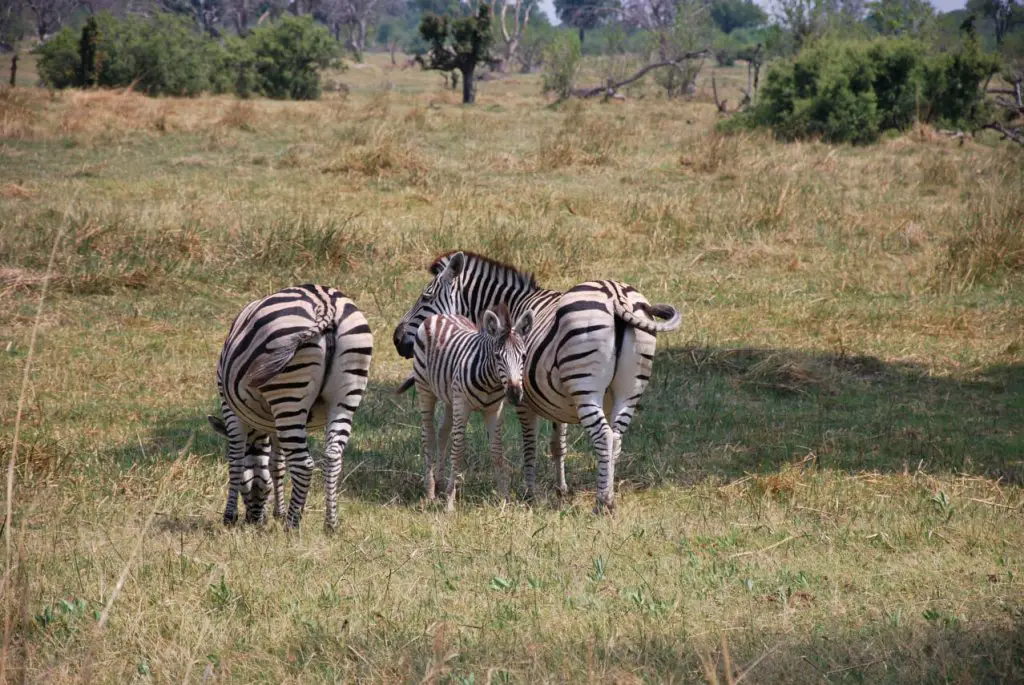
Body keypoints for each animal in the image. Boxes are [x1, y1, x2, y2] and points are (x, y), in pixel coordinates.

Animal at [204, 282, 372, 528]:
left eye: (248, 489)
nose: (254, 521)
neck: (258, 432)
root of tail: (324, 304)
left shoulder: (231, 411)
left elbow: (235, 461)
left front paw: (229, 516)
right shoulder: (274, 424)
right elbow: (277, 464)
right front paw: (280, 511)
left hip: (288, 394)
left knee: (303, 464)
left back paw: (292, 525)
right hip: (346, 394)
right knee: (332, 457)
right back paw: (330, 523)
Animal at [395, 305, 532, 511]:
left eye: (523, 356)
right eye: (498, 356)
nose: (515, 394)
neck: (492, 383)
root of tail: (442, 314)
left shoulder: (494, 410)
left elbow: (497, 452)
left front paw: (504, 499)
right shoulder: (463, 405)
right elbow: (458, 450)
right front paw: (450, 502)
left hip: (450, 397)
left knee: (443, 432)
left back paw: (440, 483)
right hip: (426, 388)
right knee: (428, 434)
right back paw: (430, 491)